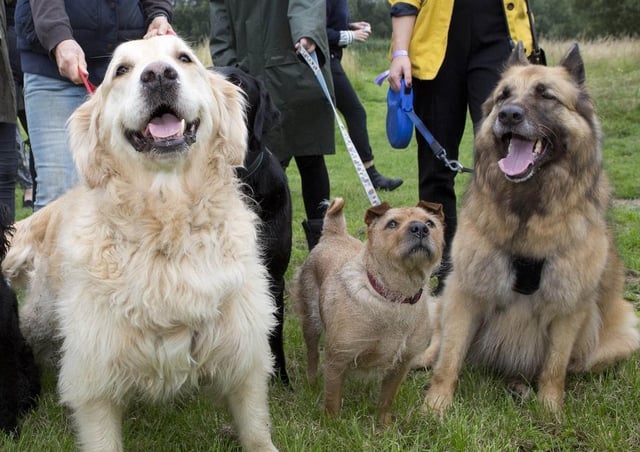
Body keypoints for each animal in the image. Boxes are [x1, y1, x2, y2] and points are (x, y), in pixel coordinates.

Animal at [2, 35, 278, 452]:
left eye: (184, 58)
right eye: (121, 70)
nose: (159, 75)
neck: (166, 222)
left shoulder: (242, 345)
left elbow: (254, 423)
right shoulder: (95, 374)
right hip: (39, 315)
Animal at [292, 198, 442, 424]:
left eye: (430, 223)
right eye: (392, 224)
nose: (420, 228)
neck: (394, 296)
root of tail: (334, 234)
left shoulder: (401, 364)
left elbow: (387, 399)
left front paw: (383, 425)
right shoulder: (337, 359)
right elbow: (332, 400)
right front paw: (331, 425)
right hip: (311, 321)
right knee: (312, 354)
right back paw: (311, 383)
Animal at [424, 44, 640, 414]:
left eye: (546, 95)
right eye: (503, 96)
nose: (507, 115)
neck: (527, 209)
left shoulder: (569, 305)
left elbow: (554, 366)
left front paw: (550, 409)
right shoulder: (464, 292)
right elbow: (448, 358)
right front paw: (435, 405)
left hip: (620, 337)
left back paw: (521, 386)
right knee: (432, 346)